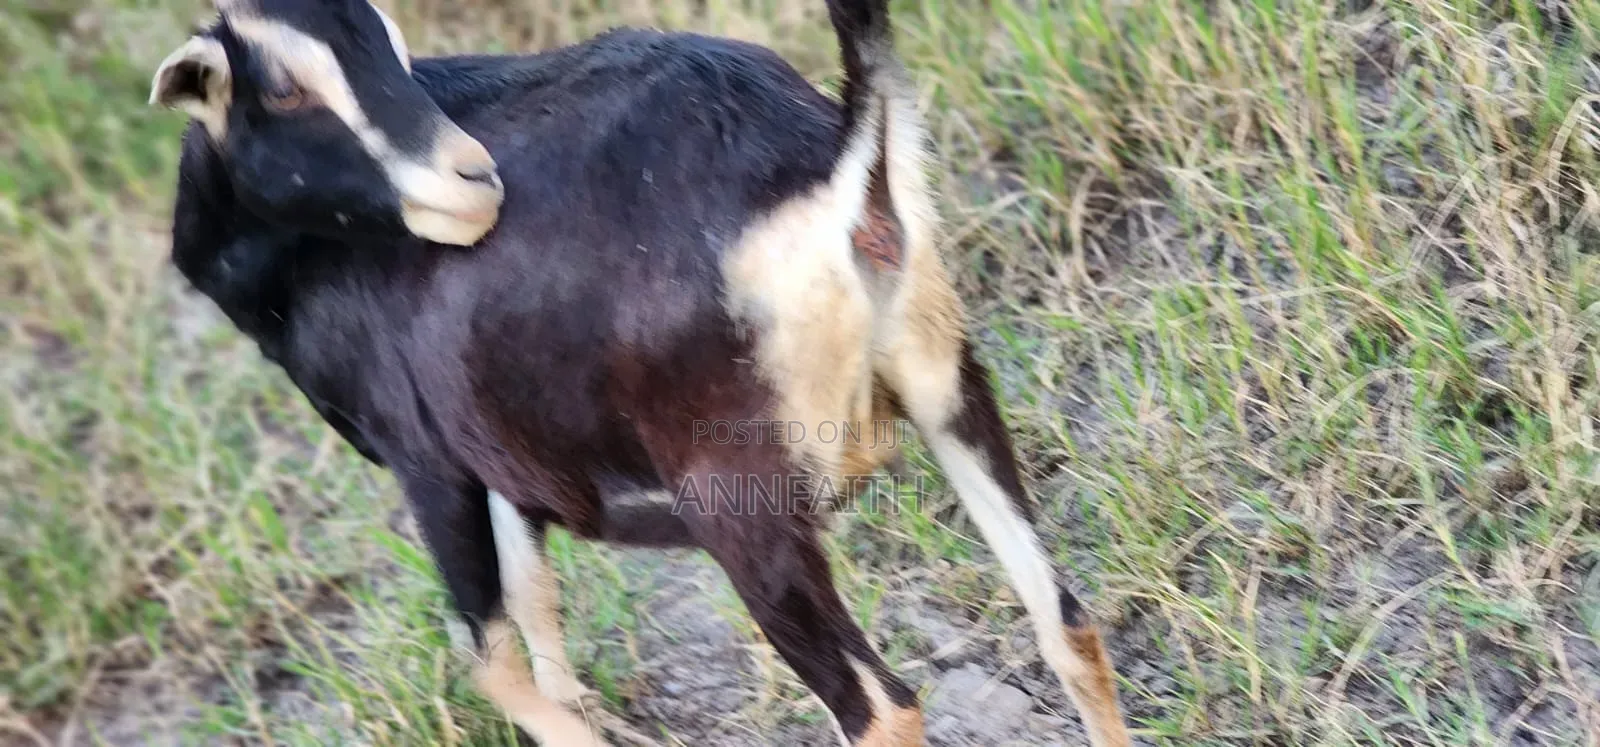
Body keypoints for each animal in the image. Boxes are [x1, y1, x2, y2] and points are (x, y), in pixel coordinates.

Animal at [149, 0, 1132, 744]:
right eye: (285, 85)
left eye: (387, 41)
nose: (470, 180)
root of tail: (838, 168)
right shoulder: (511, 458)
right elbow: (542, 616)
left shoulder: (426, 461)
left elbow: (495, 660)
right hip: (948, 383)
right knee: (1067, 623)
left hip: (739, 503)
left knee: (882, 711)